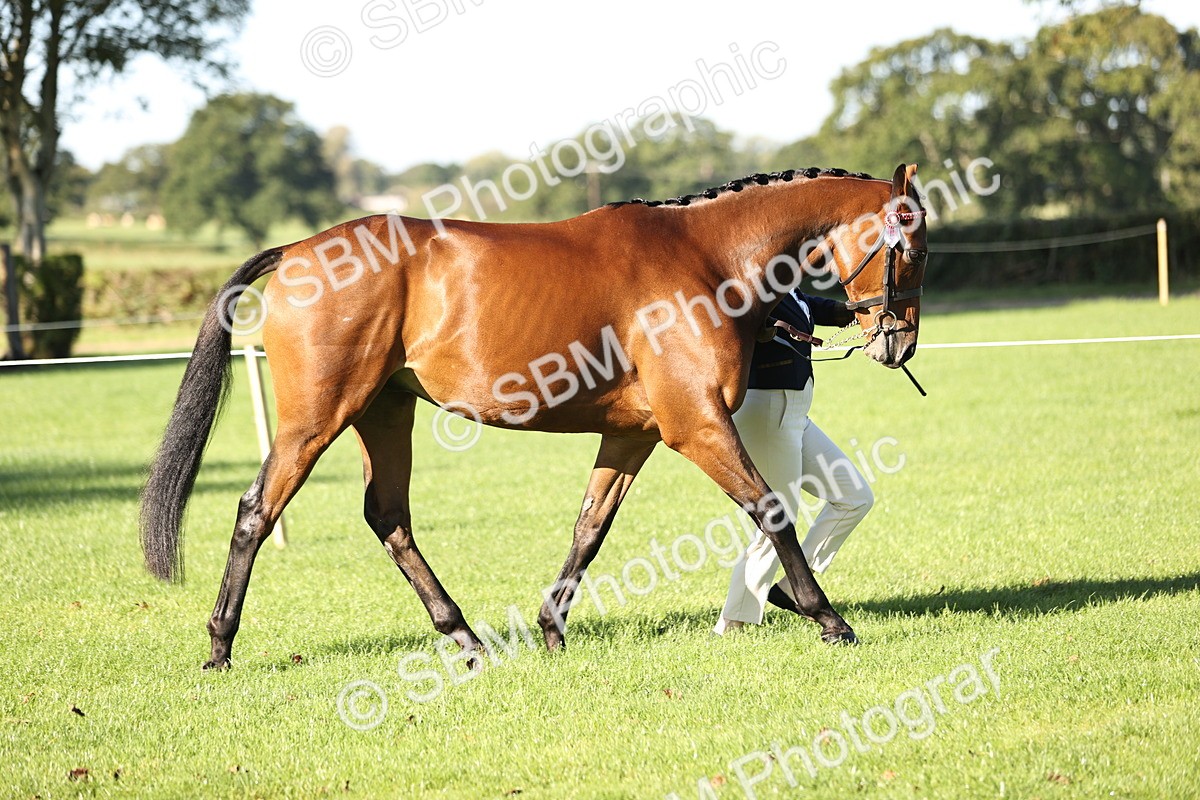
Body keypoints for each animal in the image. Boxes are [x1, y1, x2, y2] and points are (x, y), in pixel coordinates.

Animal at [139, 163, 928, 670]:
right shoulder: (696, 425)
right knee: (256, 511)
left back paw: (465, 639)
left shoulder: (633, 434)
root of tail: (299, 251)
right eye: (912, 250)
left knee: (388, 518)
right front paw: (828, 618)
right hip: (318, 418)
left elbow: (589, 529)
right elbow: (771, 510)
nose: (900, 341)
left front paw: (552, 629)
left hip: (384, 412)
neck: (707, 259)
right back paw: (219, 647)